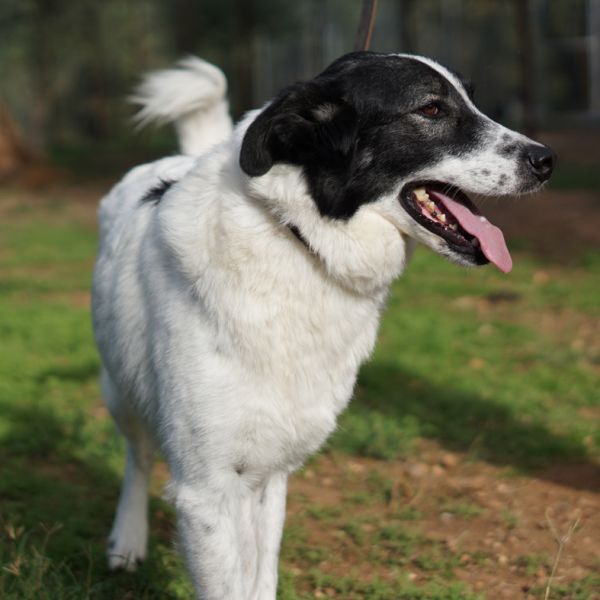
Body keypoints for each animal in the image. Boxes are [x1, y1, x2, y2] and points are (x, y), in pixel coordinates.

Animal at [92, 52, 554, 599]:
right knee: (136, 457)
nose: (546, 160)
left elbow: (260, 577)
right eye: (431, 109)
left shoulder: (270, 471)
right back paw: (126, 539)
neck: (299, 241)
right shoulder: (206, 489)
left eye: (472, 99)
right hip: (121, 390)